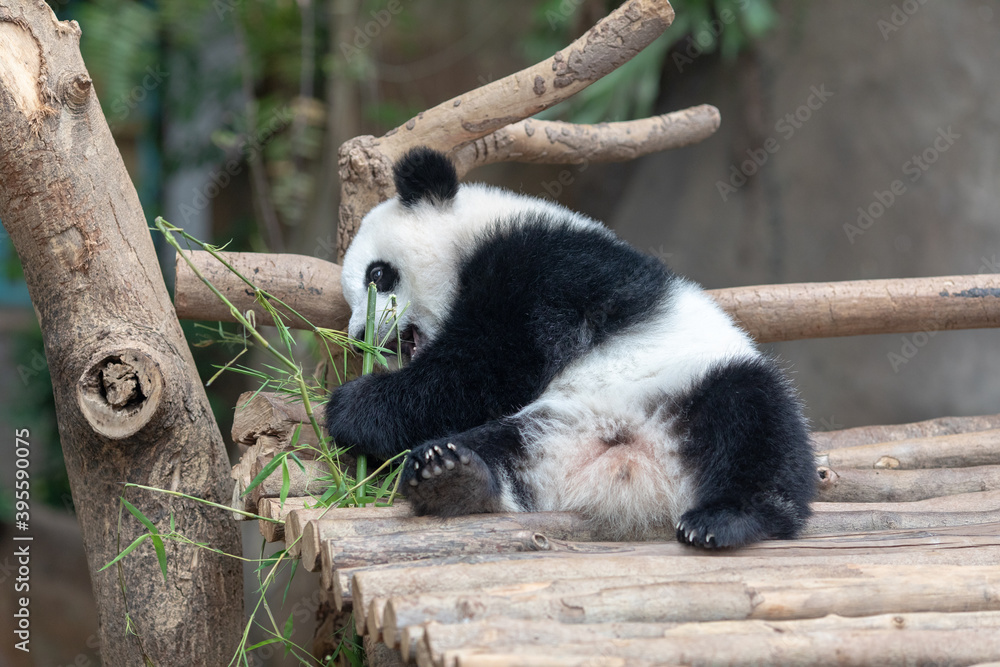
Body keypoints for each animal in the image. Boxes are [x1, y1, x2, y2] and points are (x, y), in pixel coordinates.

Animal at [325, 147, 815, 548]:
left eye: (377, 274)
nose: (359, 336)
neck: (472, 230)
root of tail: (643, 482)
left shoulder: (543, 267)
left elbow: (488, 366)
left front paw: (351, 406)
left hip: (693, 381)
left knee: (756, 420)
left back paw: (725, 519)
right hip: (547, 430)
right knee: (496, 449)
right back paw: (451, 477)